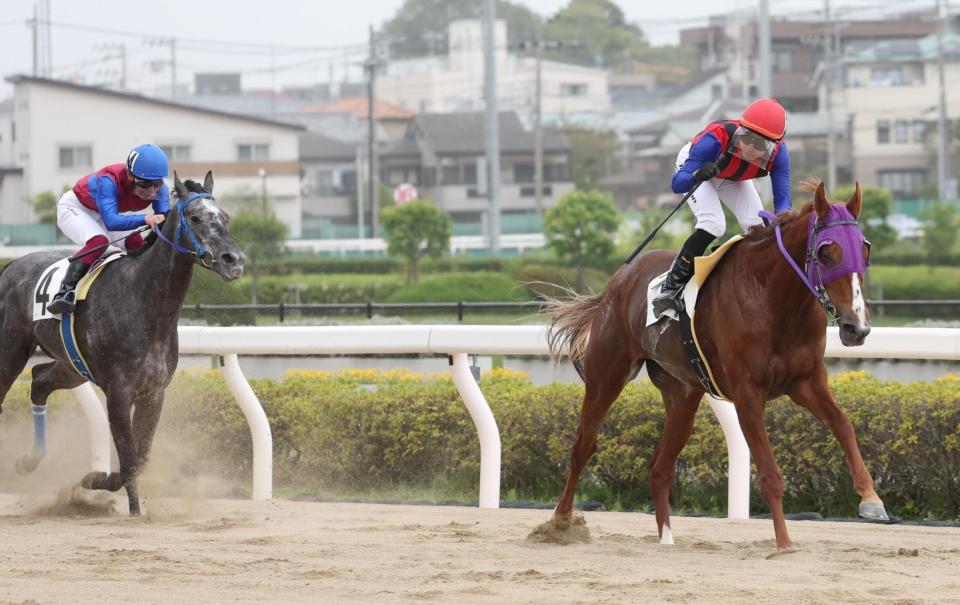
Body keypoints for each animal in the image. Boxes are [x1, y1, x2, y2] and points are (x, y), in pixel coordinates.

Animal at [0, 171, 244, 516]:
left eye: (225, 217)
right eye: (196, 218)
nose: (233, 260)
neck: (144, 301)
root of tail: (11, 265)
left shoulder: (153, 393)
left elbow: (138, 458)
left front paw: (95, 479)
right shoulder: (118, 392)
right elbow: (128, 459)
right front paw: (129, 506)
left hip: (72, 366)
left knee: (39, 380)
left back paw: (30, 460)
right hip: (11, 350)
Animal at [544, 179, 888, 552]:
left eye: (865, 249)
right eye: (827, 252)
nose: (857, 327)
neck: (773, 300)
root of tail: (618, 280)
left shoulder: (806, 381)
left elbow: (843, 424)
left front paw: (871, 499)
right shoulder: (748, 393)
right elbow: (769, 472)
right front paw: (784, 543)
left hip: (682, 395)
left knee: (660, 467)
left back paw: (667, 538)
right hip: (607, 374)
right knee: (584, 445)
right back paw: (560, 520)